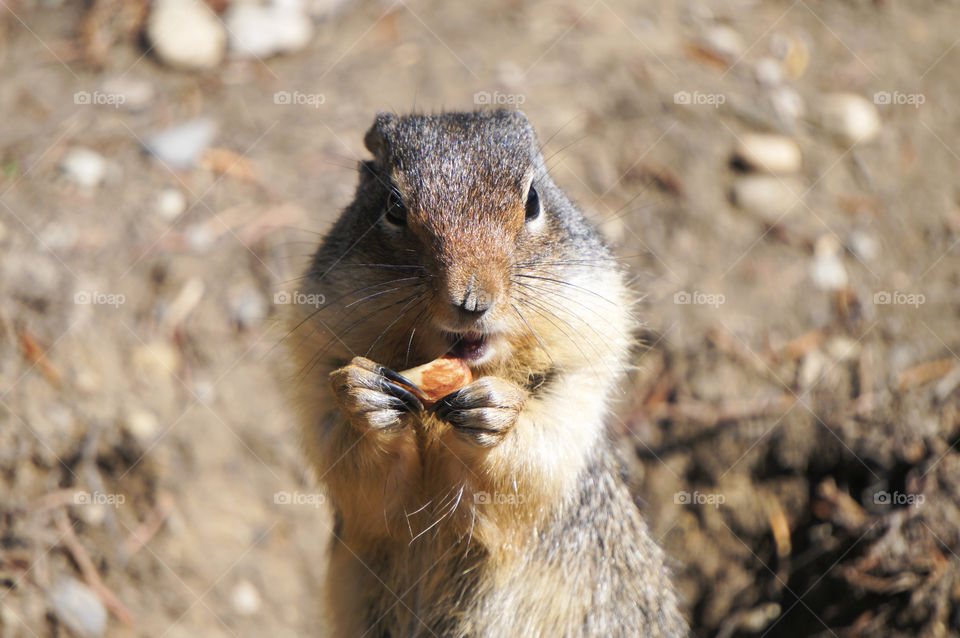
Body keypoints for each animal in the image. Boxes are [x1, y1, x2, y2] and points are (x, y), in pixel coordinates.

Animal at [284, 110, 688, 638]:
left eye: (533, 200)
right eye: (393, 206)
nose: (472, 299)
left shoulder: (578, 387)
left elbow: (531, 469)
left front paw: (497, 412)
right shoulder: (318, 367)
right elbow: (361, 483)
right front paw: (364, 397)